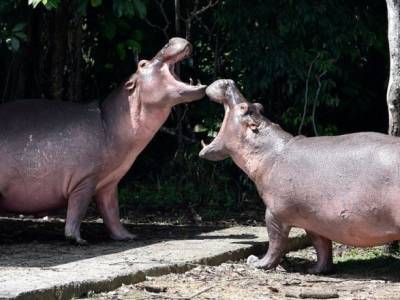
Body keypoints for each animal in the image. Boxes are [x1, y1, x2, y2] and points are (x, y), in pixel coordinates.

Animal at [0, 37, 205, 244]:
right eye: (143, 64)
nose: (171, 40)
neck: (111, 121)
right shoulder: (85, 180)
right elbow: (78, 209)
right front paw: (78, 240)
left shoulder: (109, 182)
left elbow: (112, 211)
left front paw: (128, 236)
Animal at [202, 78, 400, 274]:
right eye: (258, 105)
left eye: (243, 108)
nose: (227, 81)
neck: (268, 151)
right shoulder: (314, 218)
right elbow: (321, 245)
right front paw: (316, 269)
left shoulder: (274, 213)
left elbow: (275, 242)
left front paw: (256, 262)